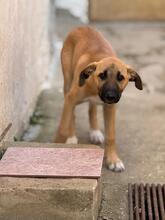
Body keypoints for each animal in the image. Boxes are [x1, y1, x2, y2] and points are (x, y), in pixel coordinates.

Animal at [54, 26, 142, 172]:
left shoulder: (110, 107)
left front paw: (113, 160)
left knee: (92, 108)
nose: (110, 96)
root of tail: (81, 27)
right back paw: (71, 137)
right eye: (102, 75)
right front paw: (57, 145)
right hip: (67, 81)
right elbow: (63, 127)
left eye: (121, 78)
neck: (95, 88)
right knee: (72, 113)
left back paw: (95, 131)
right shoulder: (71, 98)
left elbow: (111, 136)